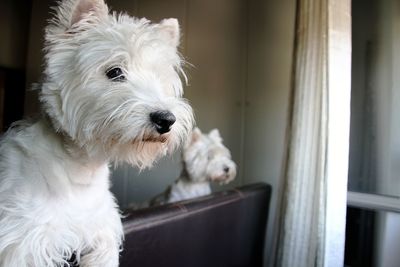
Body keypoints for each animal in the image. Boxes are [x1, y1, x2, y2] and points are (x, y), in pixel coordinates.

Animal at [0, 0, 194, 266]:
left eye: (160, 79)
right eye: (114, 72)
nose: (166, 120)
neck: (80, 172)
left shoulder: (102, 235)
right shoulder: (23, 243)